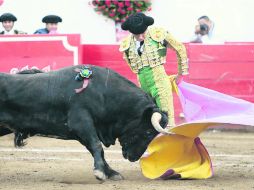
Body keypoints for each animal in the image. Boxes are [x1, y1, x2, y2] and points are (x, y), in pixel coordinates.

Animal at [0, 65, 169, 181]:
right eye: (148, 132)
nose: (134, 158)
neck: (104, 93)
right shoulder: (81, 123)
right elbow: (97, 145)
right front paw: (100, 173)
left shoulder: (86, 130)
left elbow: (96, 149)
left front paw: (110, 172)